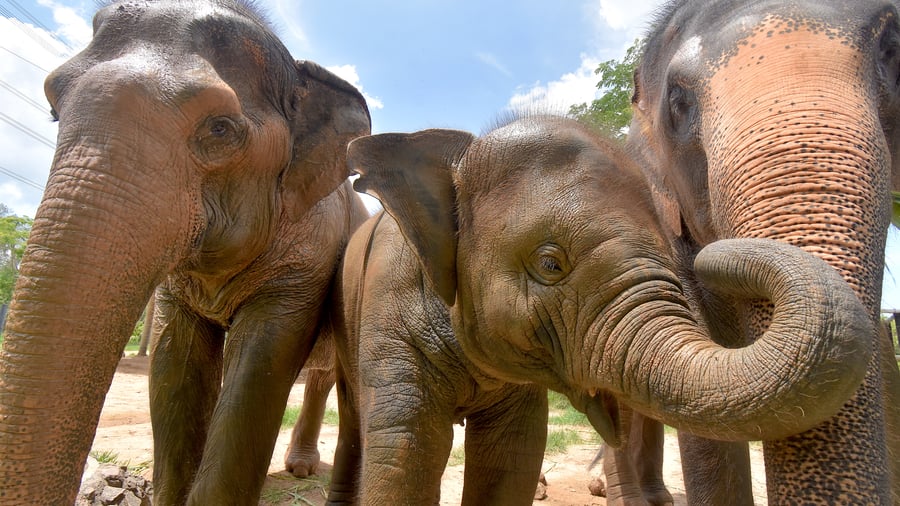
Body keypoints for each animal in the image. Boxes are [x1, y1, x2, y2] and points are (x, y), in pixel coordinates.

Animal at [0, 0, 371, 504]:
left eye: (220, 128)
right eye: (54, 111)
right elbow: (174, 364)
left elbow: (259, 368)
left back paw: (302, 471)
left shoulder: (307, 257)